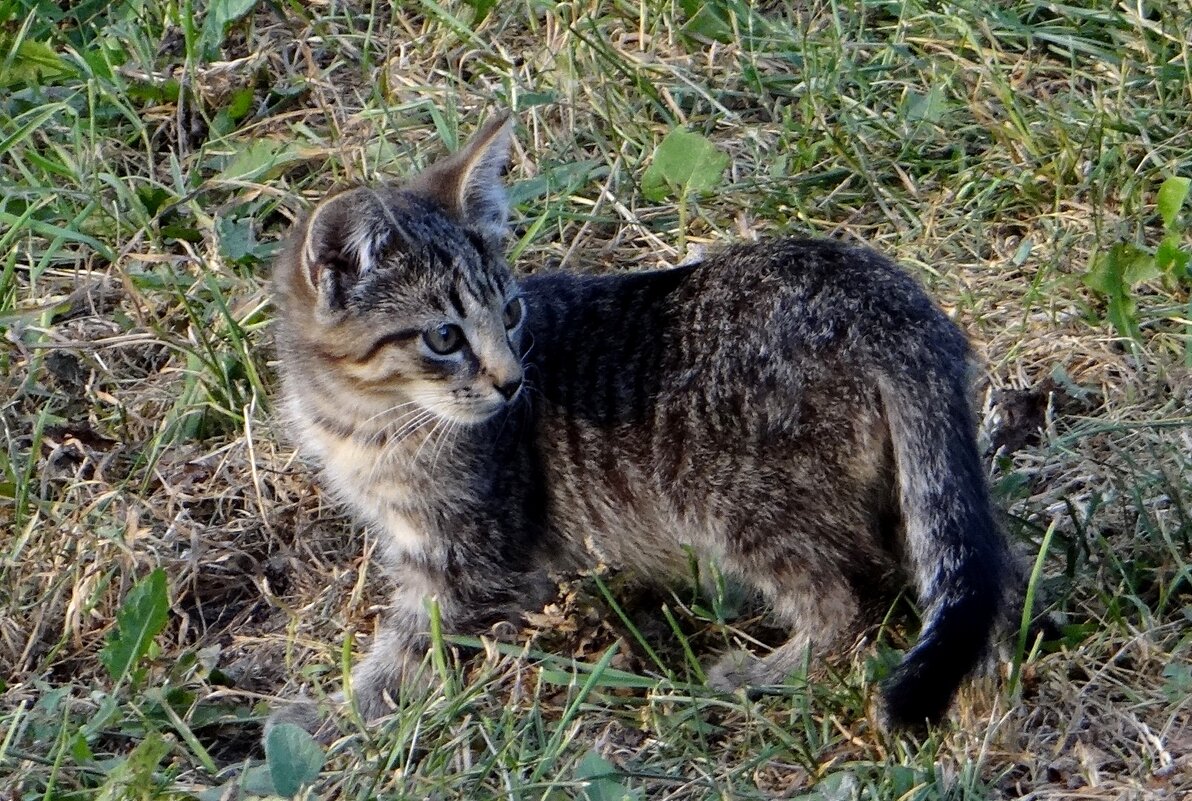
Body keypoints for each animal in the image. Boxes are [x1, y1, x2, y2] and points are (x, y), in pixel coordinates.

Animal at [270, 115, 1015, 734]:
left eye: (509, 314)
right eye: (446, 337)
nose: (512, 381)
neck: (363, 421)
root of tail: (890, 300)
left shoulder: (473, 564)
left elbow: (406, 653)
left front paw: (323, 717)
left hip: (731, 497)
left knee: (847, 604)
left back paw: (761, 672)